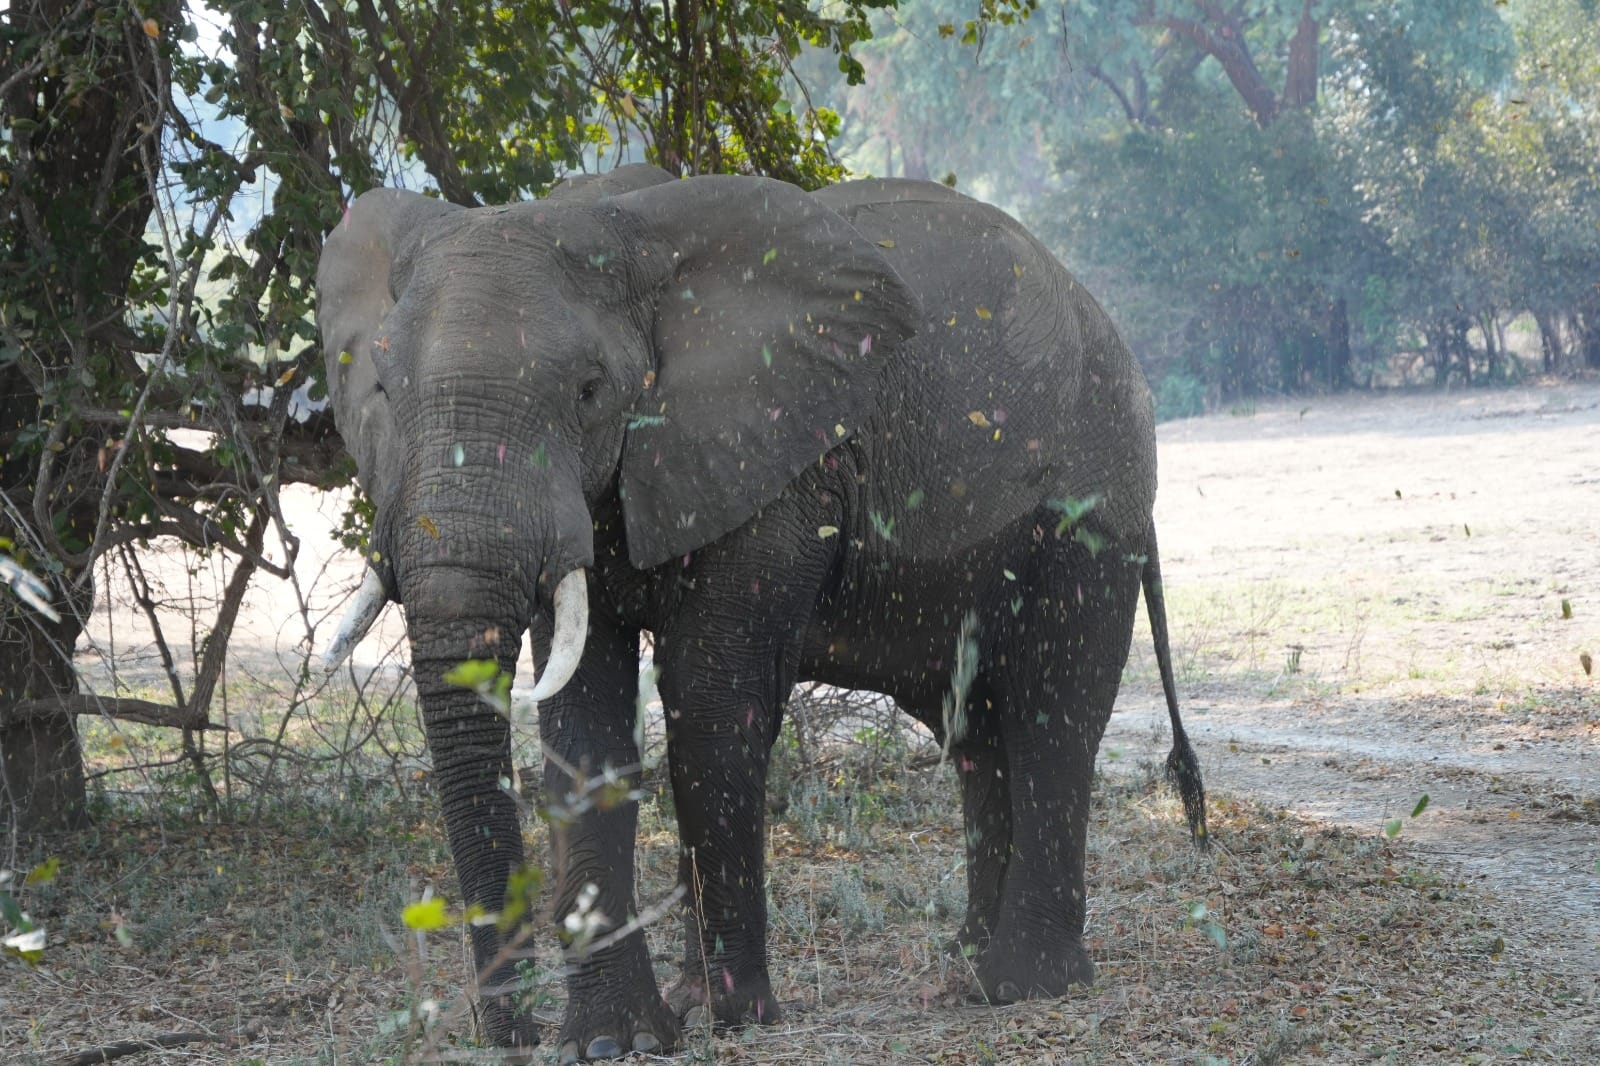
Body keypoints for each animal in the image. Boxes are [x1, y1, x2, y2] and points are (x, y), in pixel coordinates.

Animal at [315, 163, 1207, 1062]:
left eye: (590, 391)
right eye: (382, 390)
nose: (513, 1032)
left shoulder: (781, 461)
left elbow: (712, 702)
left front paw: (733, 1013)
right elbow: (584, 726)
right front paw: (614, 1039)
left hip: (1092, 505)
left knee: (1052, 712)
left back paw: (1017, 984)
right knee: (974, 729)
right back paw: (963, 963)